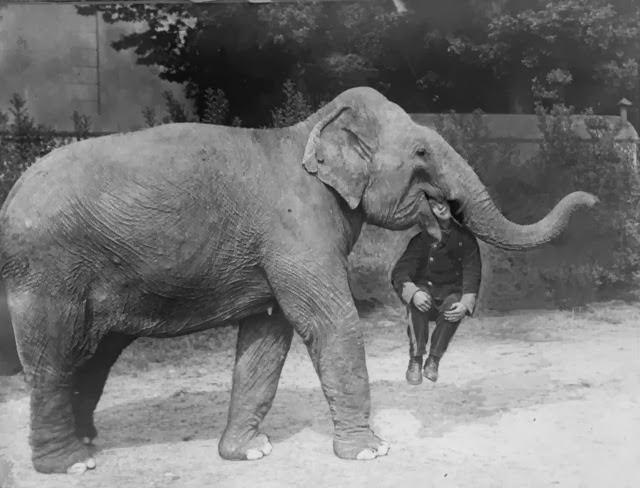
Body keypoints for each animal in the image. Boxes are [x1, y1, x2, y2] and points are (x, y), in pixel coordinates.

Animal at [0, 86, 597, 474]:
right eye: (422, 151)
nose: (593, 198)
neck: (306, 131)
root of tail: (11, 196)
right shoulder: (295, 228)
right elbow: (330, 322)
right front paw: (370, 452)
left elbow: (269, 334)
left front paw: (249, 453)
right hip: (48, 270)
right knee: (55, 355)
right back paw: (71, 464)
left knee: (94, 355)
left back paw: (86, 444)